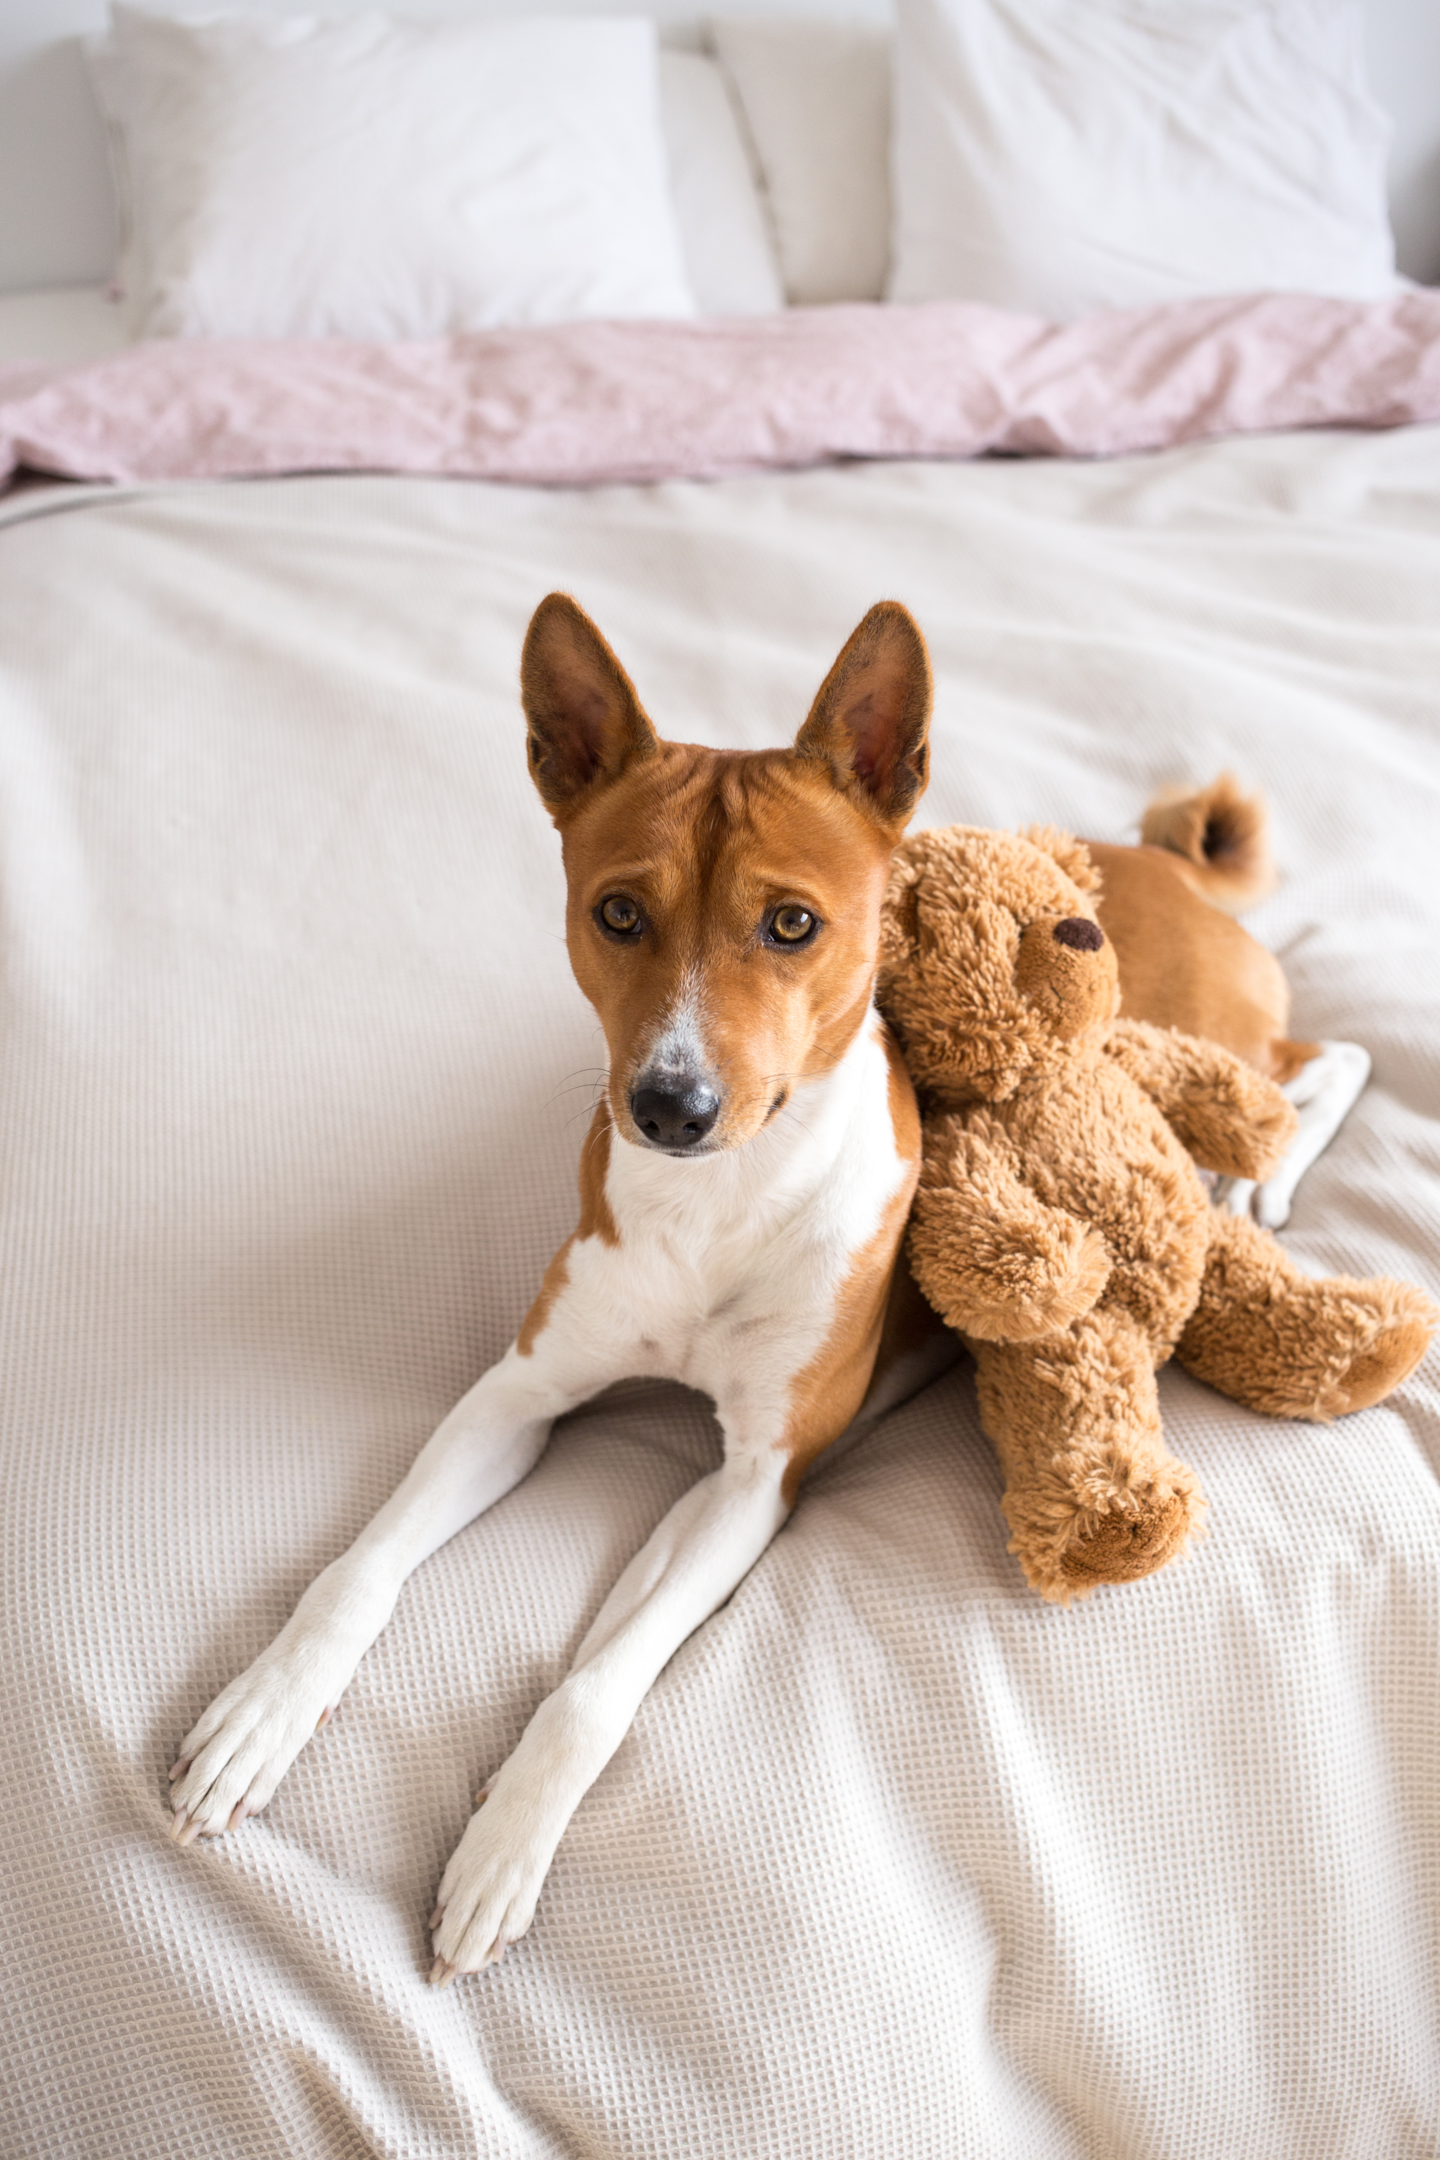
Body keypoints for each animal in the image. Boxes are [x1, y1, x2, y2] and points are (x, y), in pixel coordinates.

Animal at [169, 587, 1364, 1978]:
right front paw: (264, 1710)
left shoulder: (755, 1482)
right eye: (617, 914)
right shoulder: (519, 1397)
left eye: (792, 924)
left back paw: (1260, 1182)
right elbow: (360, 1570)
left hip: (1212, 1036)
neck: (715, 1207)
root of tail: (1154, 862)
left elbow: (593, 1685)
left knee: (1321, 1062)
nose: (668, 1106)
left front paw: (502, 1847)